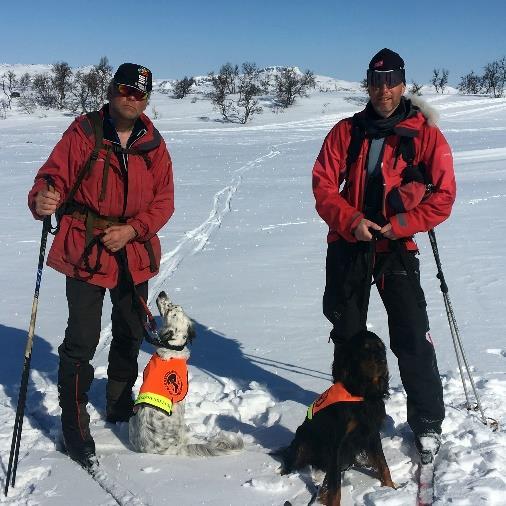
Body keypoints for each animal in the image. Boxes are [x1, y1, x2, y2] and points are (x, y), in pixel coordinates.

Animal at [278, 330, 394, 504]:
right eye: (365, 349)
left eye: (381, 348)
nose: (382, 361)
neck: (362, 394)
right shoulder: (337, 444)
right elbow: (335, 486)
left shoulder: (372, 432)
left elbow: (383, 464)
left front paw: (392, 489)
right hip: (303, 438)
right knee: (292, 460)